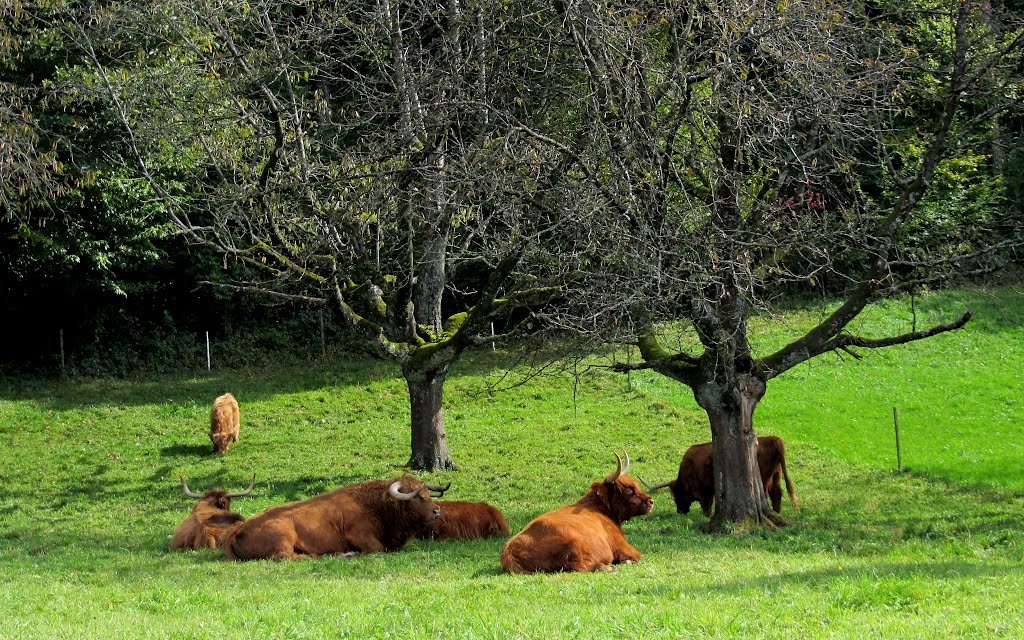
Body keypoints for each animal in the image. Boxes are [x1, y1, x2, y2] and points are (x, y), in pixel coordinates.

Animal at [222, 475, 446, 557]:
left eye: (427, 493)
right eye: (416, 497)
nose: (436, 511)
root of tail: (238, 529)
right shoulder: (360, 536)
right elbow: (377, 548)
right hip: (283, 537)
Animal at [499, 448, 651, 573]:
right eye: (629, 489)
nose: (651, 501)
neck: (600, 510)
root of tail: (509, 550)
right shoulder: (623, 547)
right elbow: (638, 556)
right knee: (579, 566)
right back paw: (608, 567)